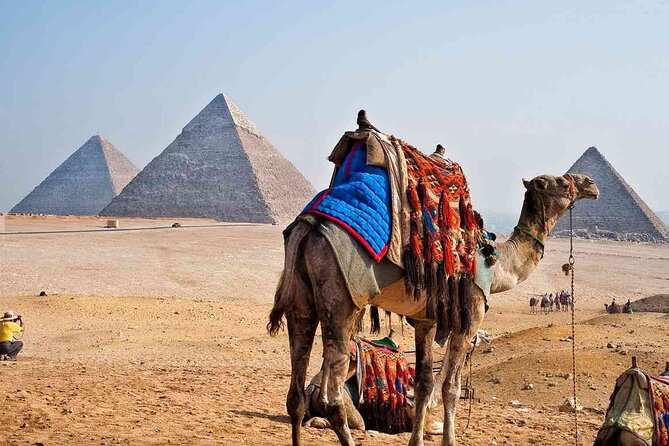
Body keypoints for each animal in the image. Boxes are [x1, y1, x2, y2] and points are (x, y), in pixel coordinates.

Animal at [268, 173, 598, 446]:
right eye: (561, 182)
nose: (590, 183)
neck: (497, 264)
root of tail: (307, 227)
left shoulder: (425, 320)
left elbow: (425, 384)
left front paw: (416, 441)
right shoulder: (469, 317)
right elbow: (451, 387)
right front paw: (450, 440)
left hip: (302, 301)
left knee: (295, 394)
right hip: (341, 301)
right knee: (333, 398)